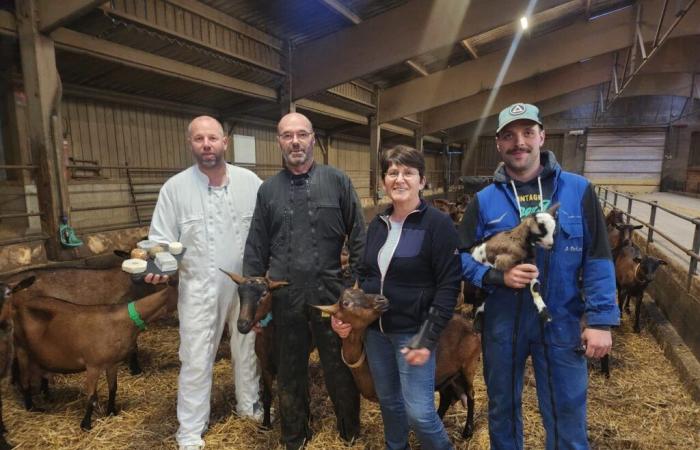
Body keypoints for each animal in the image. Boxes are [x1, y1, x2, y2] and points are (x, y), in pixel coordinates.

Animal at [12, 284, 178, 428]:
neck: (126, 320)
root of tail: (19, 304)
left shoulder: (112, 363)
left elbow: (113, 388)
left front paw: (111, 412)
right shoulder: (93, 365)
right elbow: (91, 396)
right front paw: (86, 424)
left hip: (39, 353)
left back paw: (46, 395)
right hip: (21, 348)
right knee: (24, 379)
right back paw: (31, 407)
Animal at [316, 286, 482, 438]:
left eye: (362, 291)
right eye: (346, 303)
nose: (381, 299)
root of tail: (471, 326)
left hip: (469, 365)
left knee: (471, 395)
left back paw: (467, 431)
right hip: (447, 375)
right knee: (446, 397)